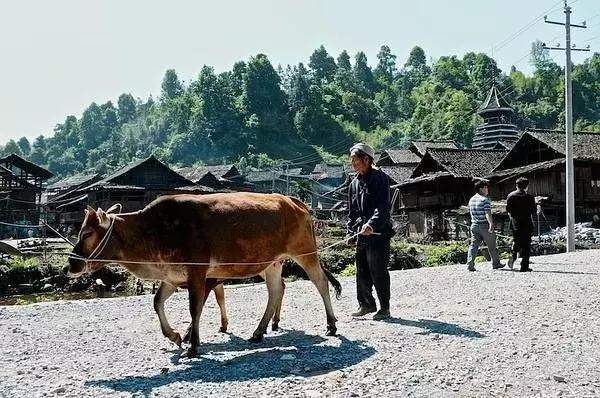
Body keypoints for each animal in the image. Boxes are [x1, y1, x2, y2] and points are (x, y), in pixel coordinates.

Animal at [66, 193, 340, 358]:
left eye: (87, 233)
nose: (70, 265)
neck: (155, 230)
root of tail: (294, 201)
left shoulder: (196, 272)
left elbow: (194, 308)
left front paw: (193, 345)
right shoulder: (171, 277)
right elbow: (157, 302)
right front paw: (176, 336)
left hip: (305, 252)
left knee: (320, 282)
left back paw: (331, 324)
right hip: (271, 263)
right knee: (276, 290)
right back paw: (258, 332)